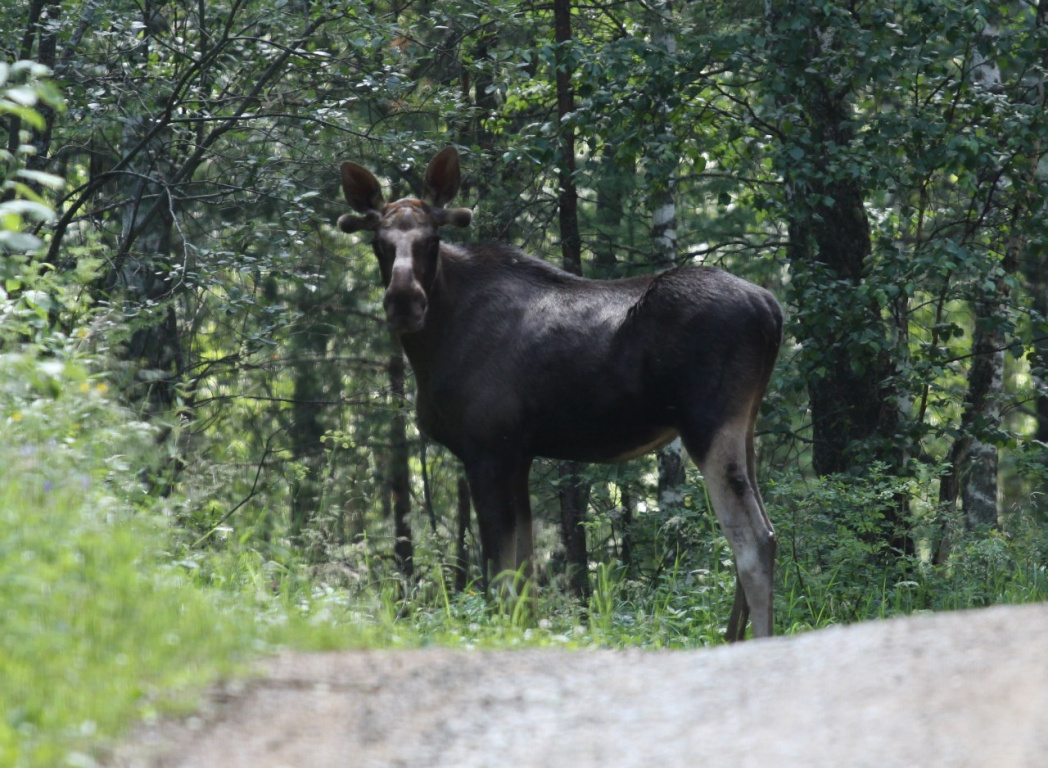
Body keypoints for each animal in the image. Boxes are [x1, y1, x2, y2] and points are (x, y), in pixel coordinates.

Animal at [339, 146, 783, 637]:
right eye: (379, 243)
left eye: (431, 241)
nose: (404, 301)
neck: (433, 346)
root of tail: (772, 310)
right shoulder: (518, 453)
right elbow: (524, 577)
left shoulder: (487, 450)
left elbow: (501, 575)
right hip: (744, 423)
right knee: (769, 531)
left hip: (708, 423)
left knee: (753, 540)